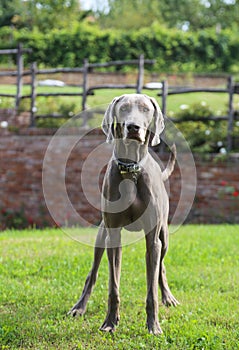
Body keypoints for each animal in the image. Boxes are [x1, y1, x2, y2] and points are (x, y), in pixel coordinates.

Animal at [68, 94, 178, 334]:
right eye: (124, 108)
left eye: (145, 109)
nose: (133, 127)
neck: (131, 170)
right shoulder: (113, 235)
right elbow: (113, 286)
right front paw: (110, 322)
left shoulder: (153, 238)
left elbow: (151, 287)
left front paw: (153, 326)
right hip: (101, 235)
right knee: (92, 272)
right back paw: (79, 307)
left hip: (164, 237)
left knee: (161, 268)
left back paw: (168, 297)